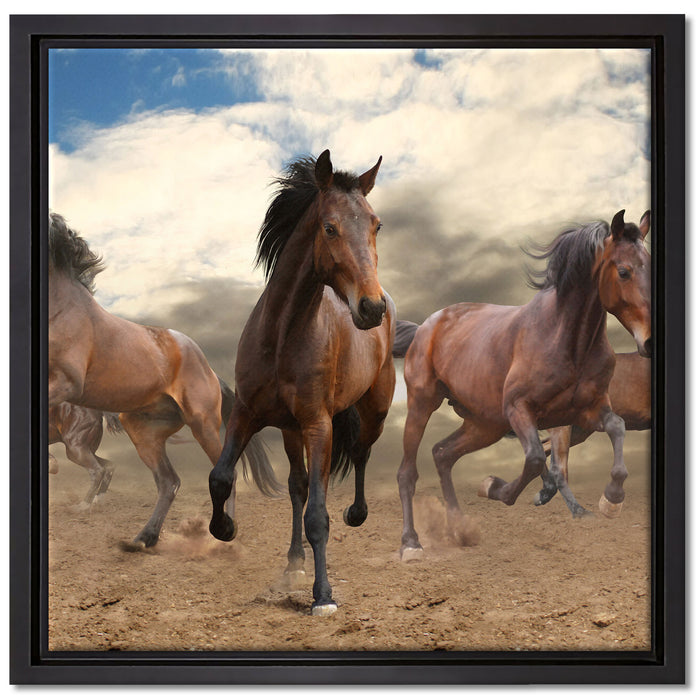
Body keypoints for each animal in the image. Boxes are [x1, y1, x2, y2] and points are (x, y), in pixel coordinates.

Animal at [48, 212, 279, 549]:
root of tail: (210, 371)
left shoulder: (67, 382)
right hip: (144, 432)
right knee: (168, 482)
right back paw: (144, 538)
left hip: (202, 424)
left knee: (225, 476)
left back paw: (224, 533)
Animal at [208, 150, 395, 615]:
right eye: (329, 227)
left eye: (376, 225)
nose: (371, 308)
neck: (281, 336)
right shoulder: (247, 413)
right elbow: (221, 477)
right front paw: (225, 528)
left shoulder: (318, 424)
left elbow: (318, 515)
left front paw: (323, 596)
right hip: (290, 430)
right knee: (297, 485)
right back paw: (294, 562)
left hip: (373, 410)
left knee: (360, 453)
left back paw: (356, 515)